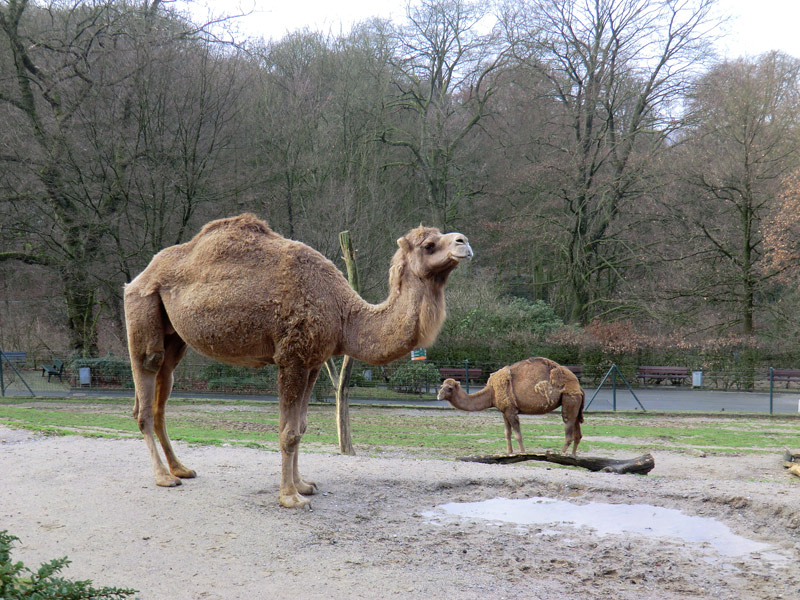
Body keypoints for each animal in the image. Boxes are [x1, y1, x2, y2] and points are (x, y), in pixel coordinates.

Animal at [125, 213, 472, 508]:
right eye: (429, 245)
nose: (464, 242)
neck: (344, 313)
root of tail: (139, 277)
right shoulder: (292, 357)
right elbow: (289, 432)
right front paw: (290, 497)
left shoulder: (314, 362)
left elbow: (300, 426)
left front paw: (303, 485)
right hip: (143, 309)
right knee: (145, 386)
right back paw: (163, 477)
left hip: (175, 338)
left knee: (162, 391)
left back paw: (181, 469)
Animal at [440, 356, 584, 454]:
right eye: (442, 386)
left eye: (450, 388)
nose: (439, 395)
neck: (492, 391)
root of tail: (579, 387)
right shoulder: (504, 411)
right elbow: (507, 433)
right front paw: (509, 453)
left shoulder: (511, 411)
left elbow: (517, 435)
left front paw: (523, 453)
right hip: (575, 405)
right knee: (578, 433)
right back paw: (573, 456)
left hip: (569, 400)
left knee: (569, 431)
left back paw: (561, 454)